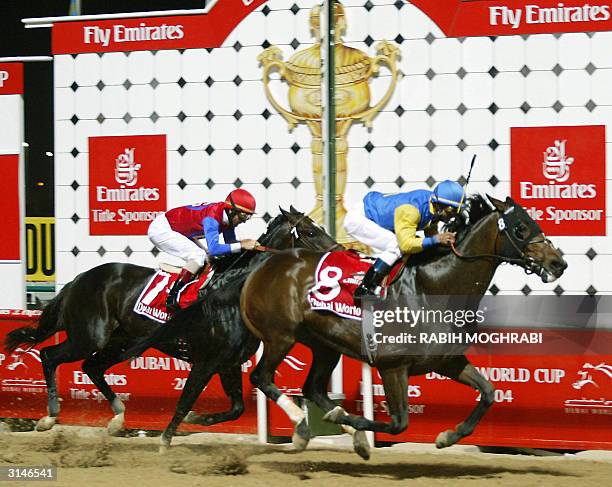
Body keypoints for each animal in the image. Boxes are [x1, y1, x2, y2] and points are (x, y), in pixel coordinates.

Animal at [2, 208, 338, 452]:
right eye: (310, 232)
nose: (338, 250)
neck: (233, 290)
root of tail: (78, 280)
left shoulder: (227, 363)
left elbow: (236, 408)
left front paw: (196, 419)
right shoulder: (206, 361)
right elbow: (187, 399)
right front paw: (167, 439)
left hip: (121, 342)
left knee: (92, 366)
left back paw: (117, 418)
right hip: (89, 336)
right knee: (50, 355)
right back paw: (49, 416)